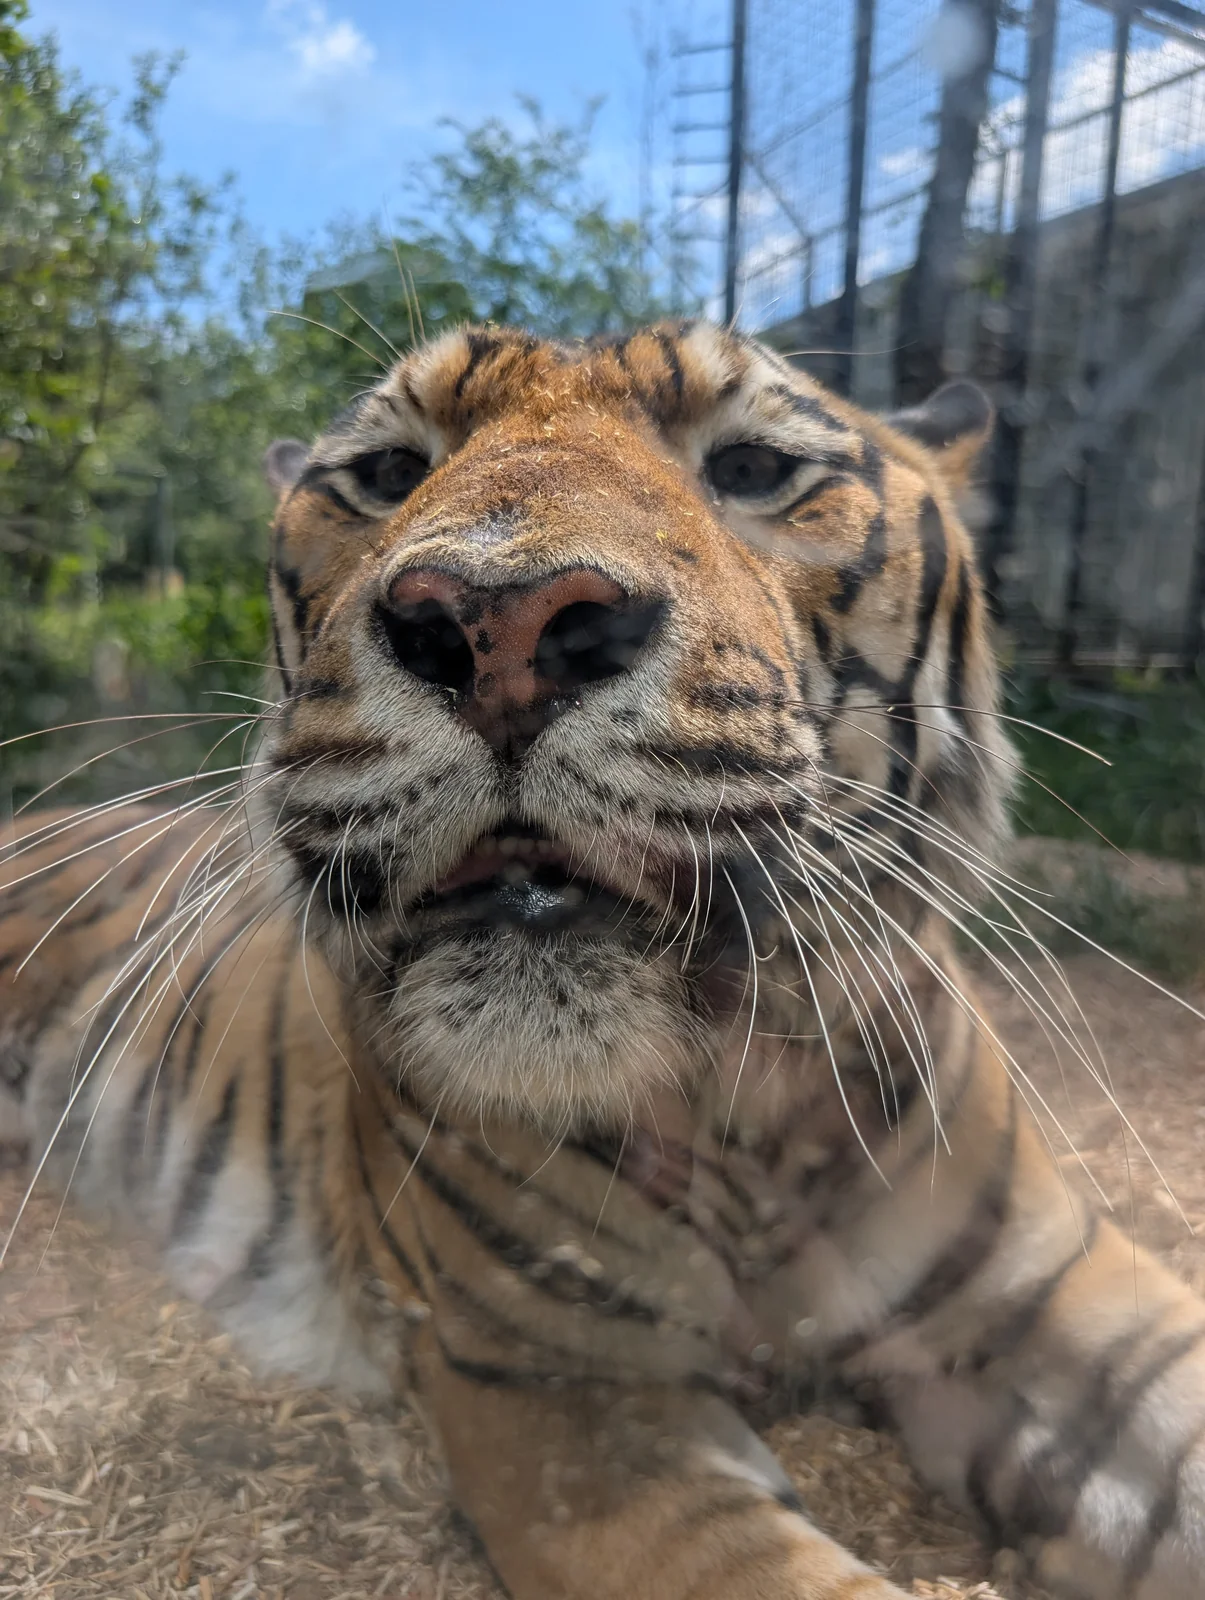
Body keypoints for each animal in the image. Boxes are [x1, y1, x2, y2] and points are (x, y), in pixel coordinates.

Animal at [2, 320, 1204, 1600]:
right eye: (385, 471)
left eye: (752, 466)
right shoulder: (560, 1392)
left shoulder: (1056, 1304)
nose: (494, 624)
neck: (746, 1118)